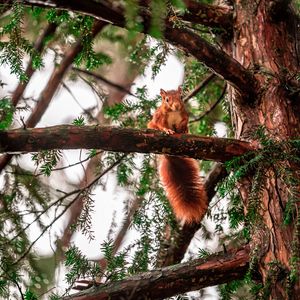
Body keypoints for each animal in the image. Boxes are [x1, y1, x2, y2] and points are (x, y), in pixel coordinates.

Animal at [148, 86, 209, 223]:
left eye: (181, 97)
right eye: (166, 99)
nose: (176, 106)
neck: (174, 112)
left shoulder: (184, 115)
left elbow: (184, 122)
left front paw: (183, 129)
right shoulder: (158, 117)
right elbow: (160, 125)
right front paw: (167, 130)